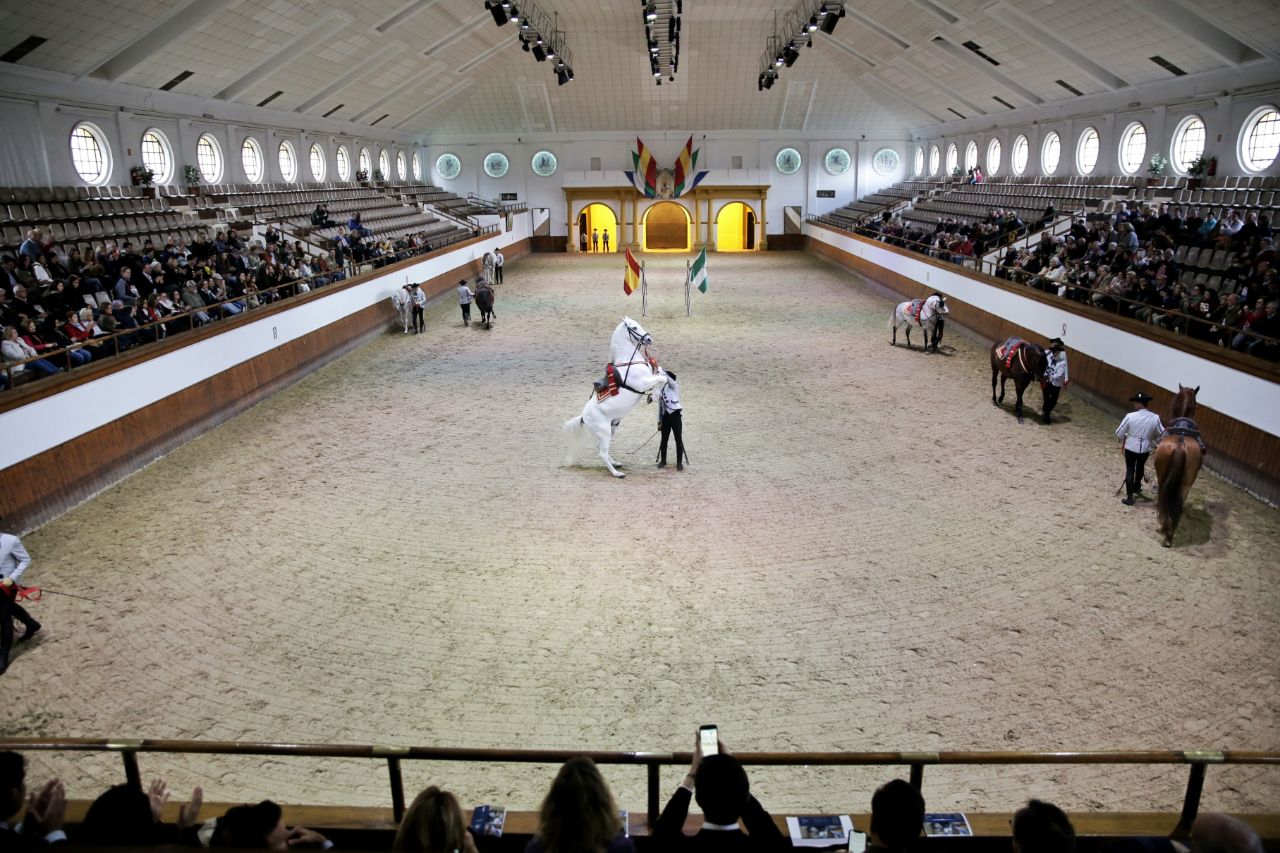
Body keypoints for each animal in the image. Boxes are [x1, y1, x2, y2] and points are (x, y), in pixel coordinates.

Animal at [563, 317, 668, 478]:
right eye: (634, 327)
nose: (649, 339)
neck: (629, 362)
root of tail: (583, 417)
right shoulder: (642, 384)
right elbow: (663, 379)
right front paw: (654, 396)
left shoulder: (651, 376)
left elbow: (663, 377)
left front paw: (654, 396)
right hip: (605, 431)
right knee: (602, 453)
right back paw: (617, 473)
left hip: (611, 428)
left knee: (600, 448)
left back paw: (616, 464)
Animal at [1154, 384, 1203, 547]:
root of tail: (1180, 445)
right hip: (1185, 484)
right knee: (1177, 505)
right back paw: (1168, 535)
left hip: (1163, 477)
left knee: (1164, 499)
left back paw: (1164, 528)